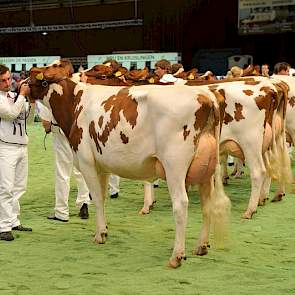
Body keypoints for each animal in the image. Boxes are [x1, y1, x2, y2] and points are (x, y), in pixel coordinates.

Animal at [27, 65, 231, 268]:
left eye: (33, 79)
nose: (22, 87)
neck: (75, 102)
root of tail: (205, 95)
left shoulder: (86, 162)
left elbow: (97, 199)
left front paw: (99, 235)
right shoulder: (102, 166)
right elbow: (102, 198)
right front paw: (104, 230)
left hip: (175, 165)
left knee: (181, 204)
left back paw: (177, 256)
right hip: (207, 170)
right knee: (207, 204)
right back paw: (201, 246)